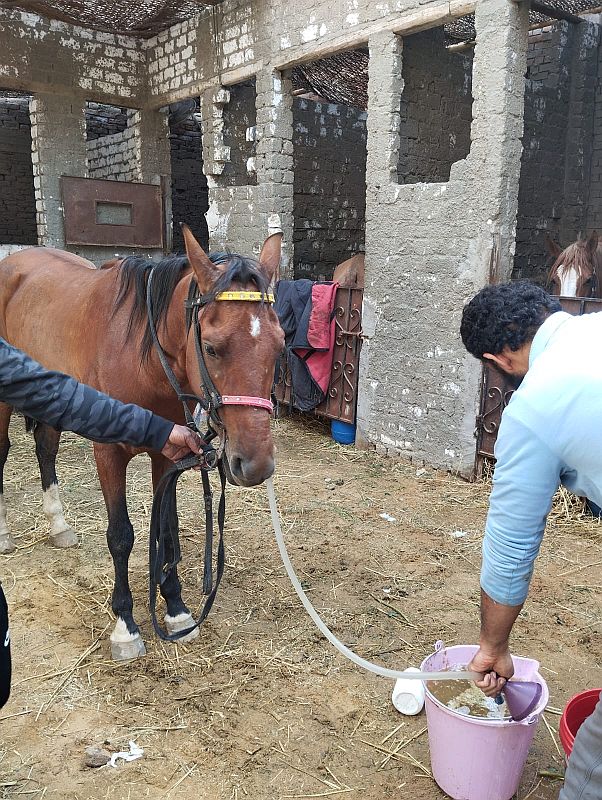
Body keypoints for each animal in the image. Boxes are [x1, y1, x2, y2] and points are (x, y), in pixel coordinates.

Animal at [0, 225, 284, 656]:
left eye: (280, 344)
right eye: (212, 347)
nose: (255, 466)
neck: (141, 353)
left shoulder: (168, 451)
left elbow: (167, 532)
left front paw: (177, 609)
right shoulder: (108, 452)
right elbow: (121, 537)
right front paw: (125, 625)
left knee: (46, 450)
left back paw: (58, 525)